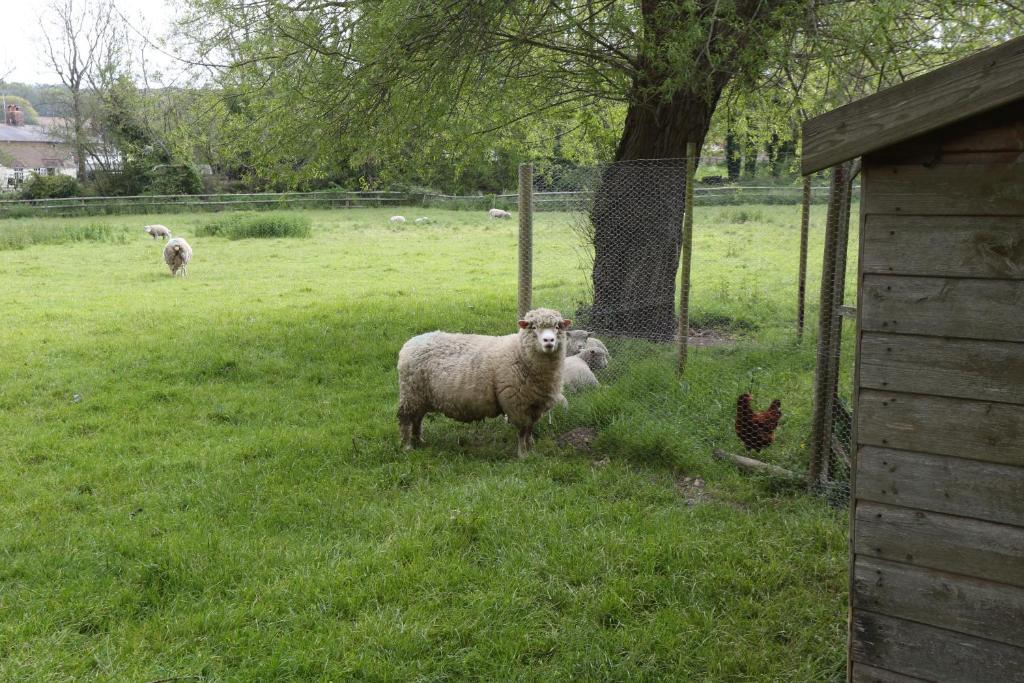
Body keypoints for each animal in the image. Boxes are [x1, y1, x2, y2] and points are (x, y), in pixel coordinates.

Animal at [397, 307, 573, 456]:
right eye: (533, 327)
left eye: (558, 326)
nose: (549, 341)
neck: (520, 354)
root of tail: (410, 343)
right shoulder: (516, 403)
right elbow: (523, 431)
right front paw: (523, 454)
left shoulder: (535, 404)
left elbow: (529, 429)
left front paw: (531, 448)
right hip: (411, 392)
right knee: (405, 418)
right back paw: (407, 446)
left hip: (420, 396)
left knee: (418, 419)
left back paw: (419, 440)